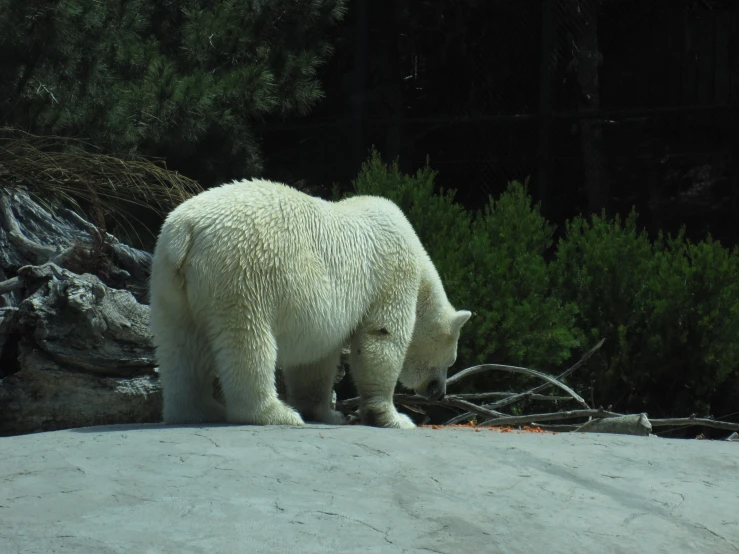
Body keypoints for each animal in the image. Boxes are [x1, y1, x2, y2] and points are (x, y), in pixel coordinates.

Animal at [151, 177, 472, 426]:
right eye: (451, 360)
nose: (438, 392)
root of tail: (188, 231)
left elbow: (314, 360)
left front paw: (327, 413)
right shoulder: (392, 274)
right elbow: (382, 336)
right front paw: (393, 417)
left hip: (170, 283)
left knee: (179, 346)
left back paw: (199, 410)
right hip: (241, 272)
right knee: (247, 342)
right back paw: (276, 413)